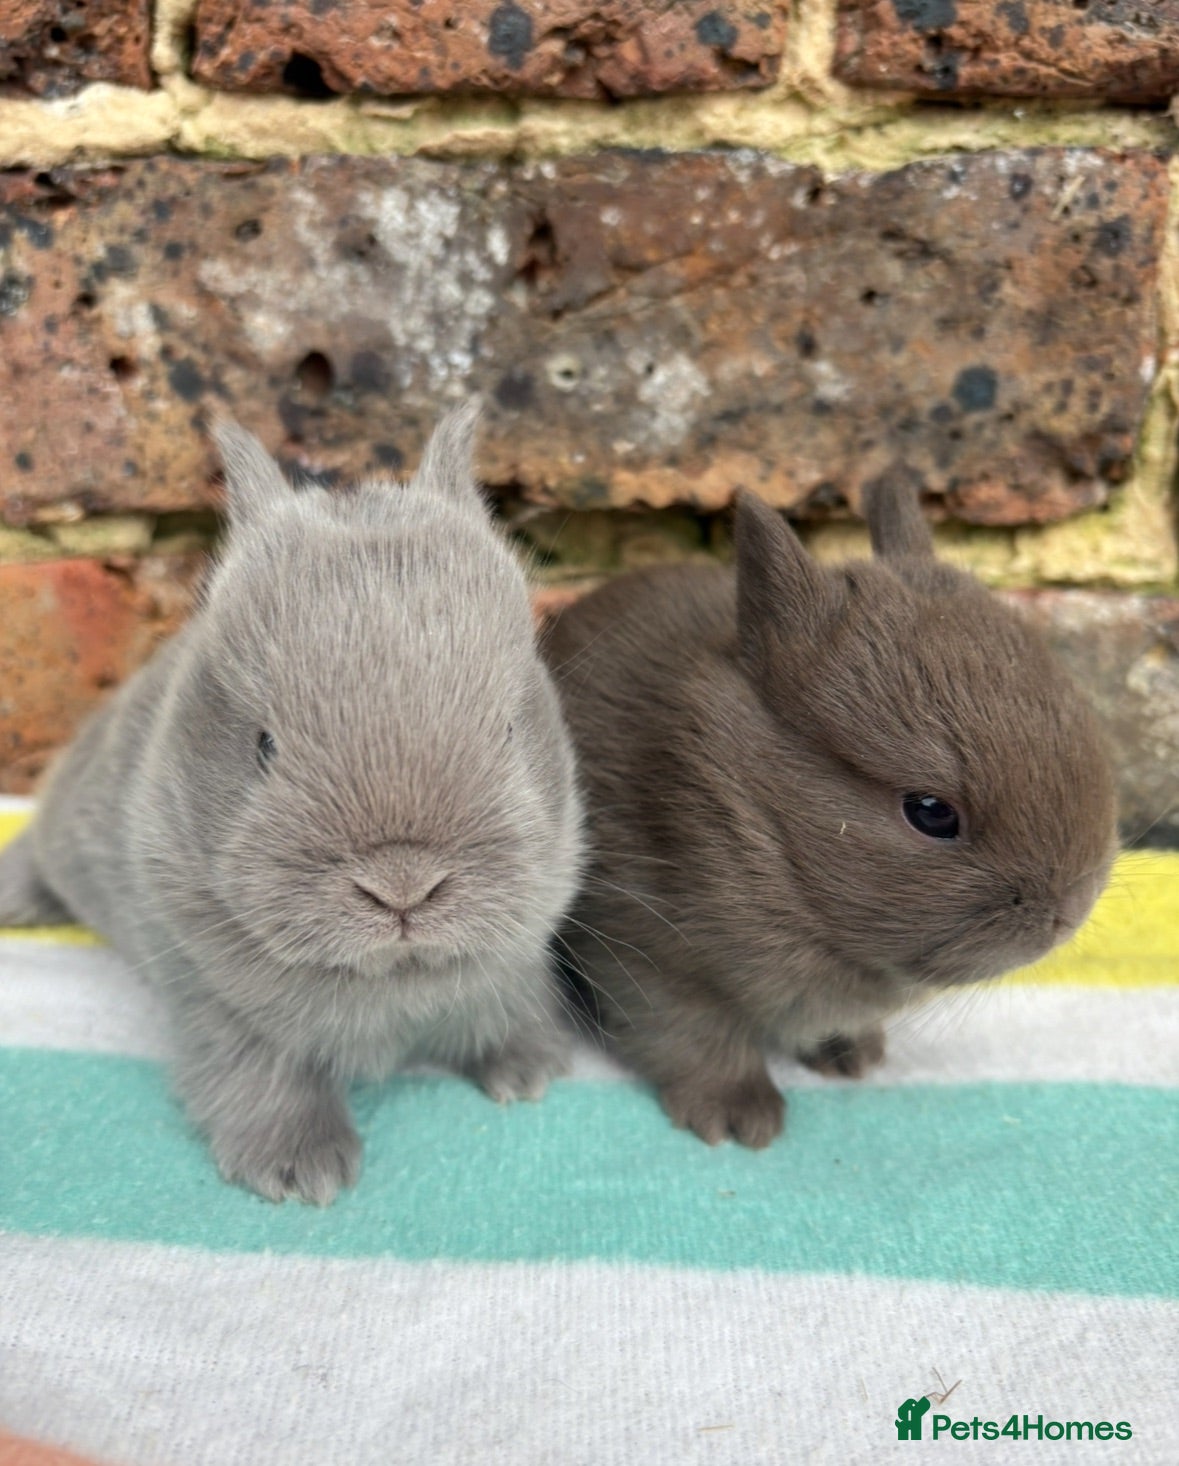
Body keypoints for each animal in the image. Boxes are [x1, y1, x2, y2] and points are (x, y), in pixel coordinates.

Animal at [0, 403, 583, 1202]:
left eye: (507, 730)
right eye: (264, 745)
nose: (402, 887)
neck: (388, 979)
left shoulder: (514, 958)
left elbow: (505, 1003)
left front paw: (530, 1070)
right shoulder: (216, 1000)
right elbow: (260, 1075)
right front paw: (301, 1171)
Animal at [542, 472, 1117, 1148]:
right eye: (930, 812)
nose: (1070, 913)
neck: (754, 819)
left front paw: (853, 1055)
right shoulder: (646, 953)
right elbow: (694, 1037)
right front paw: (738, 1116)